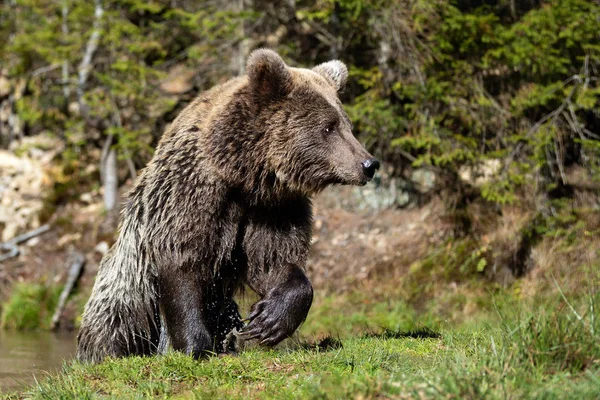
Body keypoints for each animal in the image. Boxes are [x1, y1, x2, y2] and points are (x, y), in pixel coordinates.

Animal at [77, 49, 380, 362]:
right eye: (328, 127)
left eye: (347, 125)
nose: (369, 163)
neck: (245, 175)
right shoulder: (193, 194)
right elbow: (183, 265)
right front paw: (195, 346)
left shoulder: (274, 209)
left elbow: (273, 262)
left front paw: (267, 321)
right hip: (128, 286)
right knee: (116, 322)